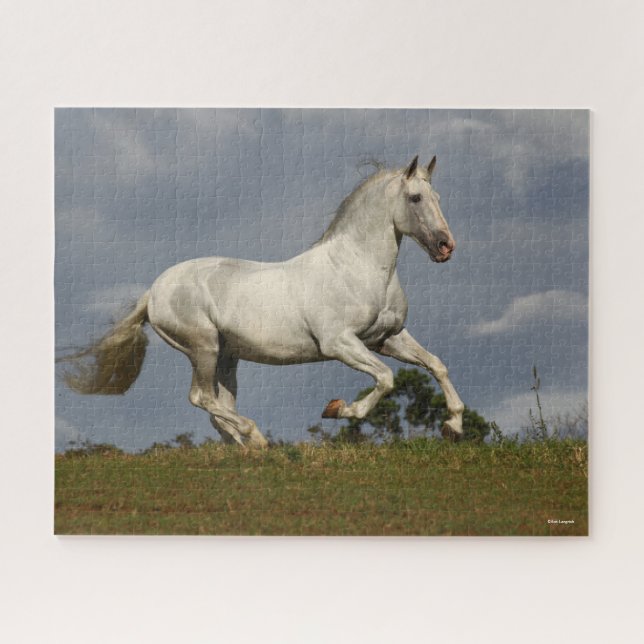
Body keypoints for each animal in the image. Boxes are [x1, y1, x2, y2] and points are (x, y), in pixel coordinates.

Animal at [59, 155, 464, 447]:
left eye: (439, 198)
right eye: (415, 198)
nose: (446, 246)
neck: (358, 267)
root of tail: (154, 291)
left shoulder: (386, 338)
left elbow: (436, 365)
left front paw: (454, 426)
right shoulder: (339, 343)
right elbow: (385, 378)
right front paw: (338, 410)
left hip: (227, 356)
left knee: (219, 408)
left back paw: (246, 446)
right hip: (203, 348)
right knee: (201, 398)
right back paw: (255, 437)